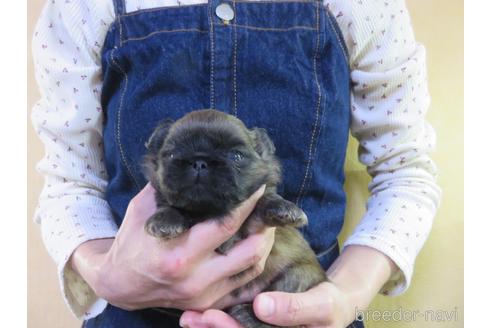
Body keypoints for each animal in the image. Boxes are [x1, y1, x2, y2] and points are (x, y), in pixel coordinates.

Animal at [142, 110, 326, 328]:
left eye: (235, 156)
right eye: (172, 154)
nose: (199, 162)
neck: (208, 211)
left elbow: (266, 199)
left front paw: (284, 208)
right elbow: (169, 203)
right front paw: (165, 220)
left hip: (297, 275)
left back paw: (249, 314)